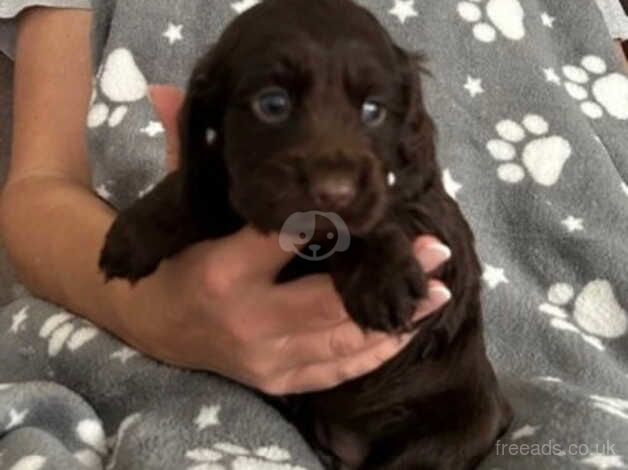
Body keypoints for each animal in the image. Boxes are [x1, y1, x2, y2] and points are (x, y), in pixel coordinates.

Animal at [98, 1, 510, 468]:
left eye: (373, 110)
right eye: (273, 104)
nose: (333, 191)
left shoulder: (432, 224)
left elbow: (384, 216)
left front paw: (382, 277)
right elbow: (196, 189)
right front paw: (133, 233)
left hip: (454, 427)